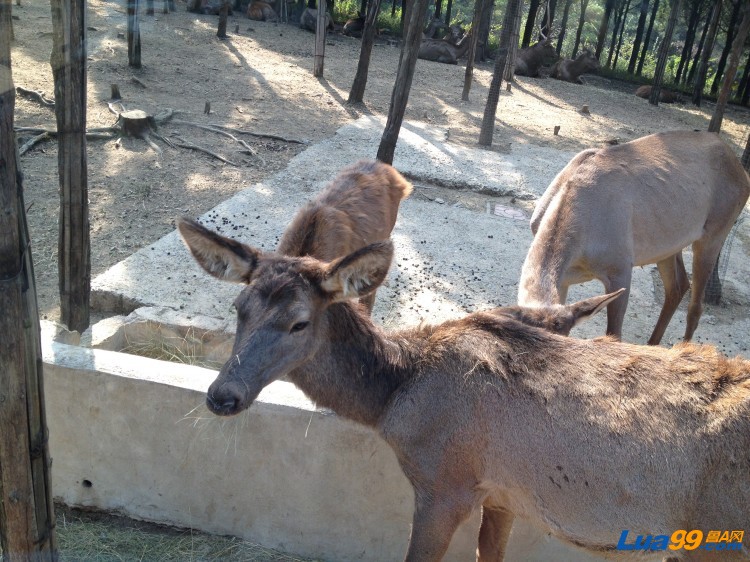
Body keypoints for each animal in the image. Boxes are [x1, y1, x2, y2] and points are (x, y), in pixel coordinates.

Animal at [175, 225, 750, 556]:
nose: (222, 395)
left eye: (299, 322)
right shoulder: (504, 493)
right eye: (238, 308)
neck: (395, 398)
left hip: (718, 533)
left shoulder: (446, 484)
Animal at [520, 129, 748, 344]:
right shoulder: (564, 281)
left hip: (716, 230)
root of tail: (742, 171)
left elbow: (615, 334)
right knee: (678, 286)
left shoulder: (620, 267)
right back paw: (652, 344)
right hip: (667, 245)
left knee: (696, 305)